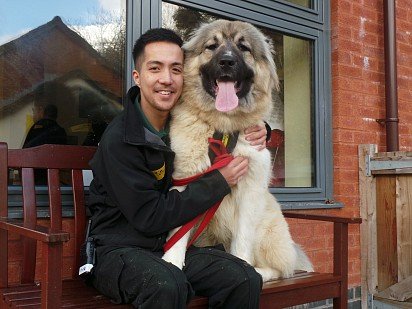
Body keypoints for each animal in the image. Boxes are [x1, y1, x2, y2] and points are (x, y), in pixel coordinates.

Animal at [162, 19, 312, 282]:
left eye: (244, 48)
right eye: (212, 46)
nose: (227, 62)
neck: (223, 130)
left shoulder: (249, 192)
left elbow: (242, 242)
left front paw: (244, 267)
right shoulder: (185, 179)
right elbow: (178, 230)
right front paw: (171, 260)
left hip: (266, 229)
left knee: (280, 268)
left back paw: (260, 272)